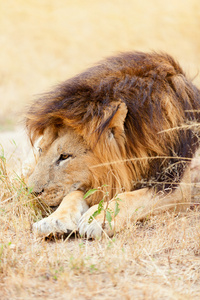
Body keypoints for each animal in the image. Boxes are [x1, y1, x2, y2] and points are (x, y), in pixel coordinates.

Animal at [25, 52, 200, 239]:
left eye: (64, 156)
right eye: (40, 150)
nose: (32, 193)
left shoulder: (176, 186)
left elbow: (131, 196)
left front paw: (97, 218)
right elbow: (72, 195)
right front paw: (53, 220)